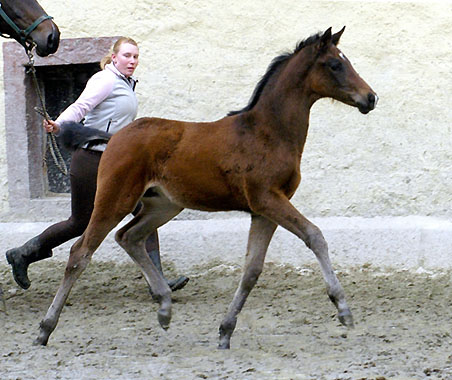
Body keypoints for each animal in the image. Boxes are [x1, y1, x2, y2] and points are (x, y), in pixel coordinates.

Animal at [35, 26, 378, 348]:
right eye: (335, 64)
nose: (371, 98)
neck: (268, 131)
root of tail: (114, 136)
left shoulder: (263, 210)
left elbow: (252, 269)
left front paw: (225, 331)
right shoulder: (268, 199)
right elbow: (314, 236)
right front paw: (343, 309)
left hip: (164, 204)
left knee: (128, 237)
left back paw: (164, 307)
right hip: (115, 198)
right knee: (81, 252)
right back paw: (45, 328)